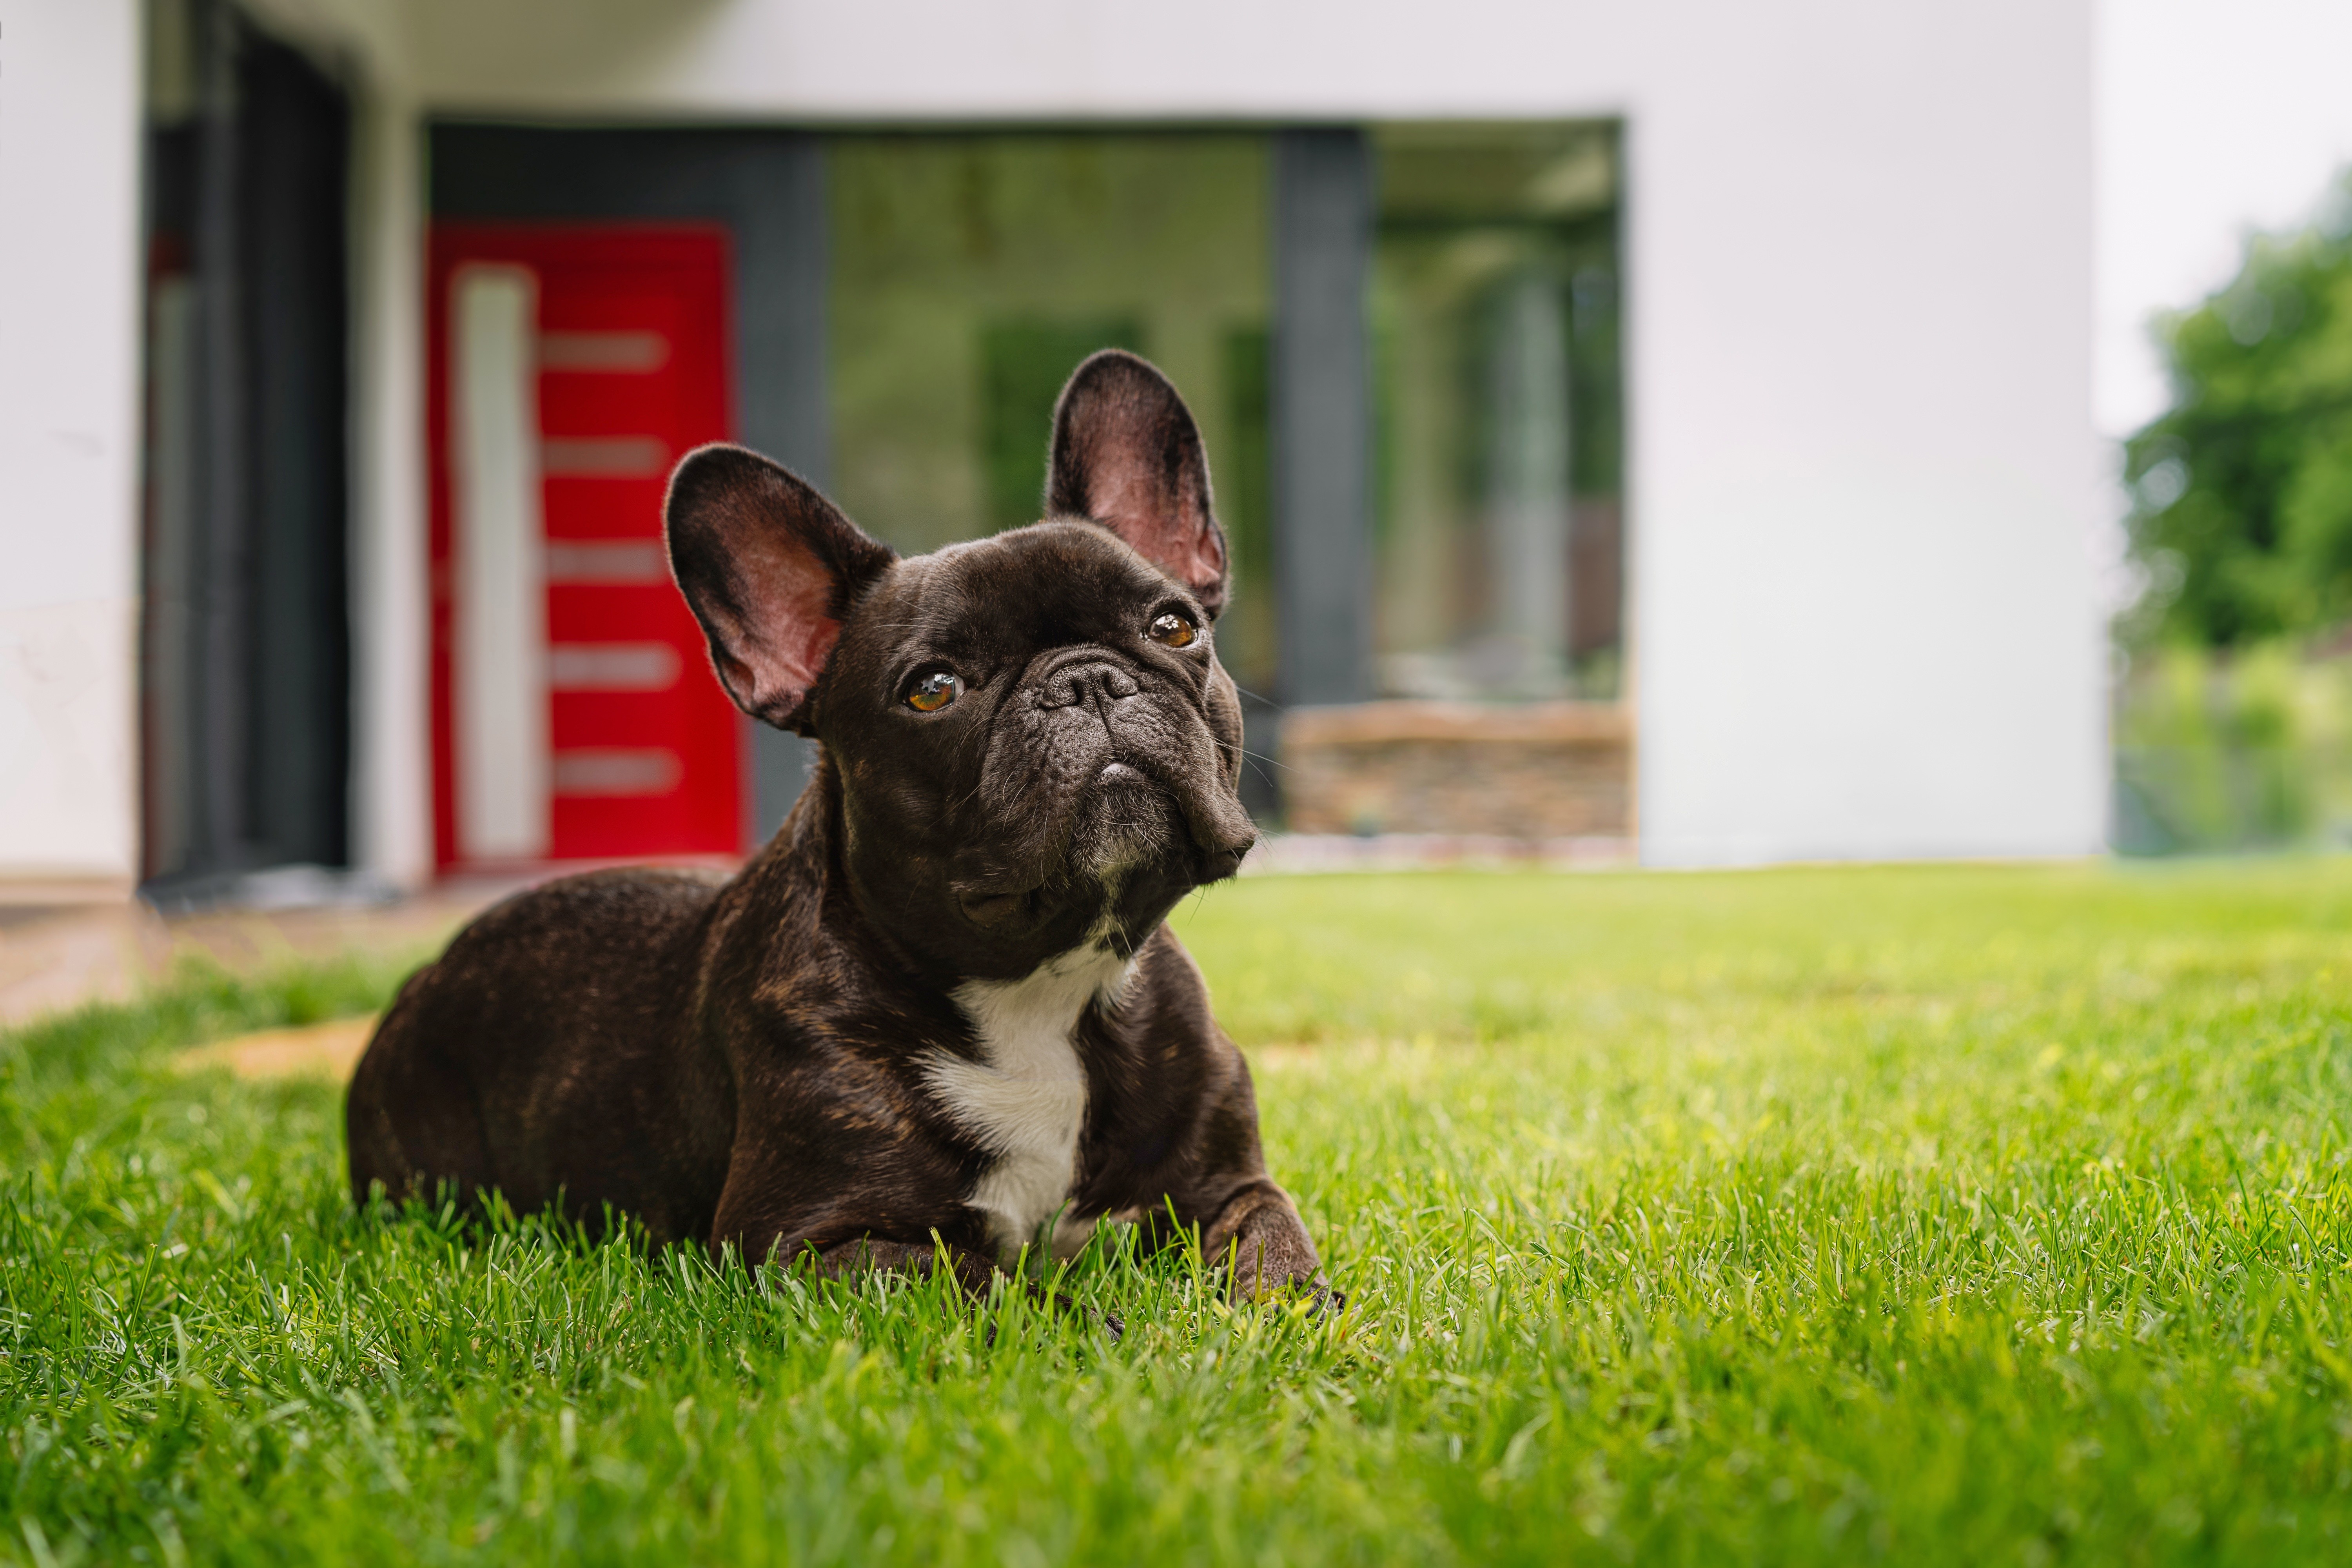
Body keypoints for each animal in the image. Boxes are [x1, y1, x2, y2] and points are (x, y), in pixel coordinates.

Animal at [350, 350, 1345, 1307]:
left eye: (1173, 626)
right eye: (932, 689)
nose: (1086, 678)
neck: (1041, 990)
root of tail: (433, 968)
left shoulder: (1227, 1185)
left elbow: (1274, 1256)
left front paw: (1293, 1318)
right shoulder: (814, 1244)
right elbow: (1008, 1293)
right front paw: (1109, 1331)